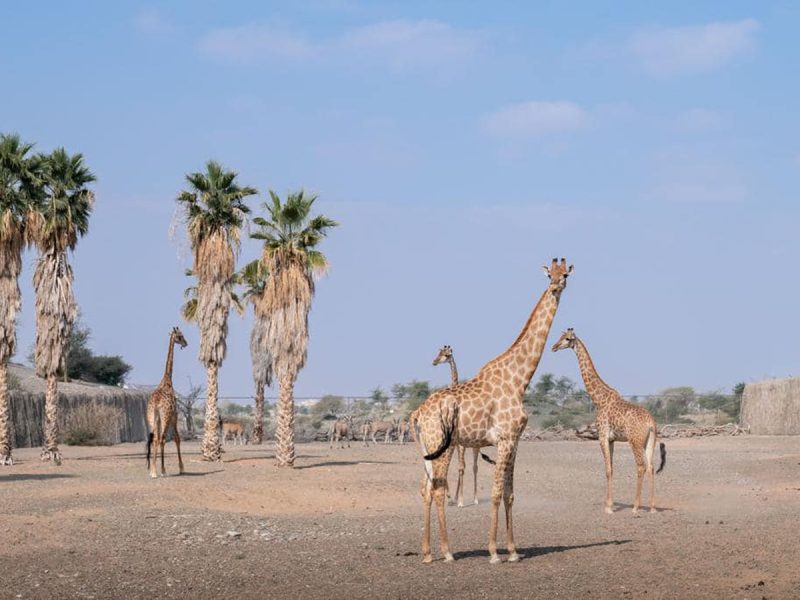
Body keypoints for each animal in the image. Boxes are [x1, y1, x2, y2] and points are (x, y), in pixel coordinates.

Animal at [146, 328, 188, 478]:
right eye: (180, 336)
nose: (186, 343)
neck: (167, 380)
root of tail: (156, 403)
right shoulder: (174, 415)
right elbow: (177, 438)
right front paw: (181, 468)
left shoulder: (159, 418)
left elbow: (159, 439)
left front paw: (157, 469)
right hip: (165, 417)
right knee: (162, 438)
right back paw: (158, 471)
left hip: (151, 418)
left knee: (155, 438)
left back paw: (153, 470)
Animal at [434, 344, 490, 508]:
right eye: (439, 353)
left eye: (446, 355)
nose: (434, 361)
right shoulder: (456, 445)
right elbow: (456, 466)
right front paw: (454, 498)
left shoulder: (459, 445)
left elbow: (461, 467)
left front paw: (459, 500)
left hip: (474, 446)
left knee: (474, 467)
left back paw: (474, 499)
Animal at [552, 330, 668, 512]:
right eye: (561, 336)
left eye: (567, 339)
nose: (554, 347)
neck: (599, 399)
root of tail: (651, 423)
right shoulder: (612, 439)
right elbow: (612, 469)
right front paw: (609, 503)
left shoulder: (602, 436)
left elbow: (607, 469)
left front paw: (609, 507)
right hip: (650, 440)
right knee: (650, 466)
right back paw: (652, 507)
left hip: (635, 441)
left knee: (641, 466)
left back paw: (635, 507)